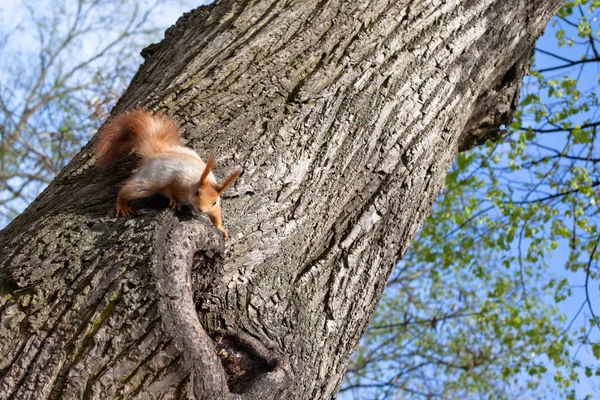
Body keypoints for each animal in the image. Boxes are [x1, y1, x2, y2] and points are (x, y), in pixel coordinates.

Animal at [96, 109, 241, 239]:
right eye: (197, 193)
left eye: (214, 202)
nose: (201, 210)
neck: (196, 180)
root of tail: (157, 154)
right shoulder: (178, 181)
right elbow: (172, 189)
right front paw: (175, 201)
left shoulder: (214, 206)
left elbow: (216, 216)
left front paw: (221, 228)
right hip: (150, 183)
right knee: (128, 190)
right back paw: (122, 205)